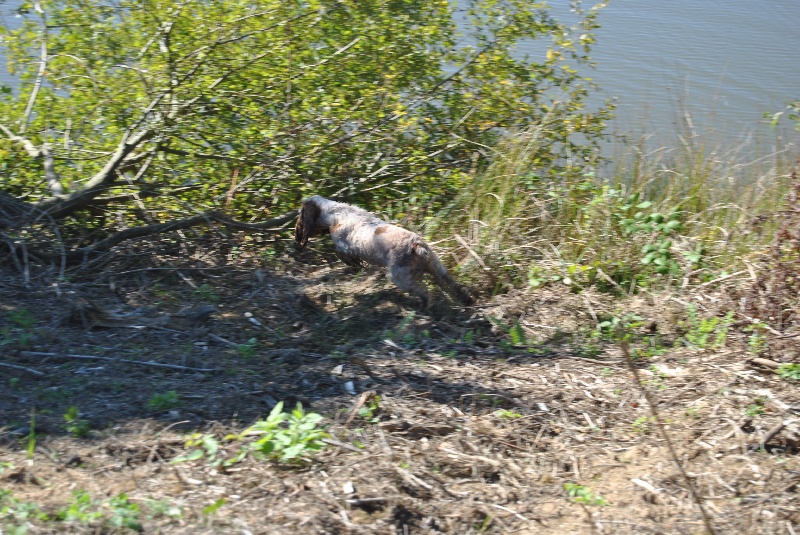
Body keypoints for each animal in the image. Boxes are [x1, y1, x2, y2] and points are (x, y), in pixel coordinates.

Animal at [295, 195, 475, 309]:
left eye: (300, 215)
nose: (296, 234)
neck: (335, 213)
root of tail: (417, 245)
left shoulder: (344, 245)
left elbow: (342, 253)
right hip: (437, 268)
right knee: (455, 286)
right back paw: (468, 301)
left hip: (399, 277)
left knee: (424, 292)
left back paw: (422, 308)